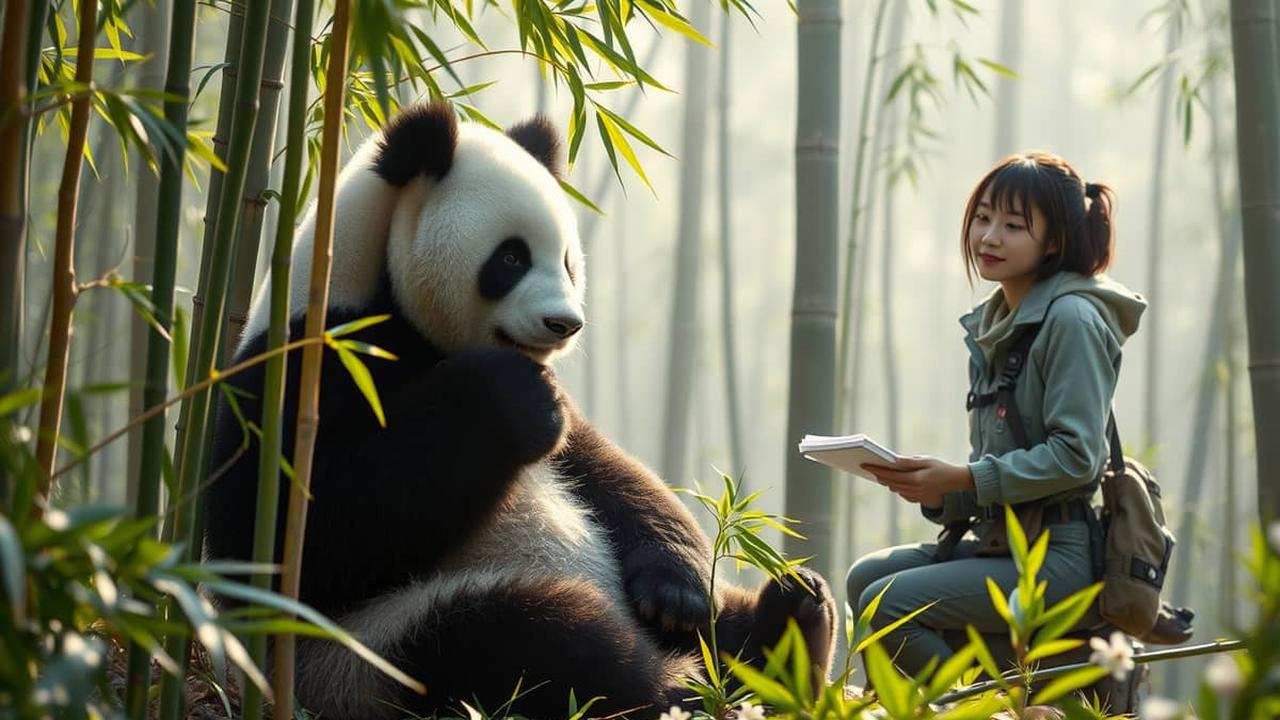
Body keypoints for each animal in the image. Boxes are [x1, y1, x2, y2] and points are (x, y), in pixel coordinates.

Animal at [205, 101, 836, 720]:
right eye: (510, 257)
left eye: (568, 262)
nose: (565, 324)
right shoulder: (308, 363)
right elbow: (297, 536)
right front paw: (509, 400)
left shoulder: (568, 416)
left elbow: (612, 473)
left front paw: (677, 592)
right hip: (373, 651)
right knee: (532, 638)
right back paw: (679, 689)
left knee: (728, 618)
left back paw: (791, 624)